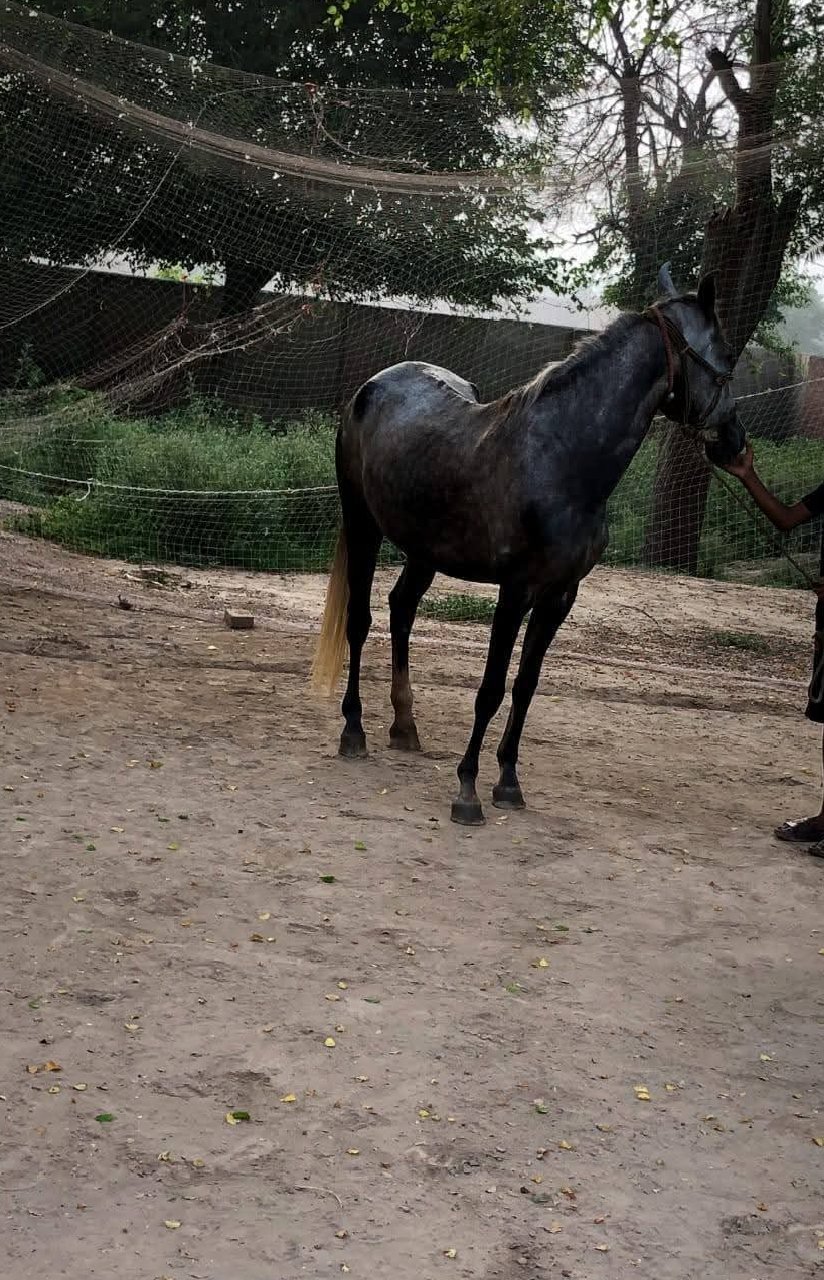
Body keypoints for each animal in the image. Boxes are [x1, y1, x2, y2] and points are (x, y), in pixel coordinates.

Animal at [311, 264, 745, 825]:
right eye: (727, 354)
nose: (735, 441)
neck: (562, 461)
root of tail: (373, 385)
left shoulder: (560, 596)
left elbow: (525, 685)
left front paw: (509, 783)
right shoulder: (515, 591)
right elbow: (491, 687)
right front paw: (468, 791)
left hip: (425, 550)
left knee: (401, 609)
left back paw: (405, 727)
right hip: (363, 524)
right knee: (360, 622)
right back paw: (354, 731)